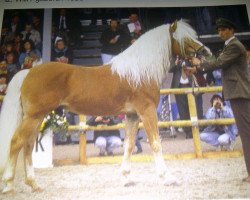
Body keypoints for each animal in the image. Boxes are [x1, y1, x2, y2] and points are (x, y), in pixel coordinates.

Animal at [0, 19, 212, 193]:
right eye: (185, 39)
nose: (206, 53)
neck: (140, 72)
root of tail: (28, 72)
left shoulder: (132, 115)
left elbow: (128, 145)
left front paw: (126, 178)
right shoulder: (147, 111)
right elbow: (156, 143)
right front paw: (167, 178)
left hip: (37, 117)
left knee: (28, 145)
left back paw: (34, 184)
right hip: (33, 117)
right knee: (16, 142)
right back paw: (9, 185)